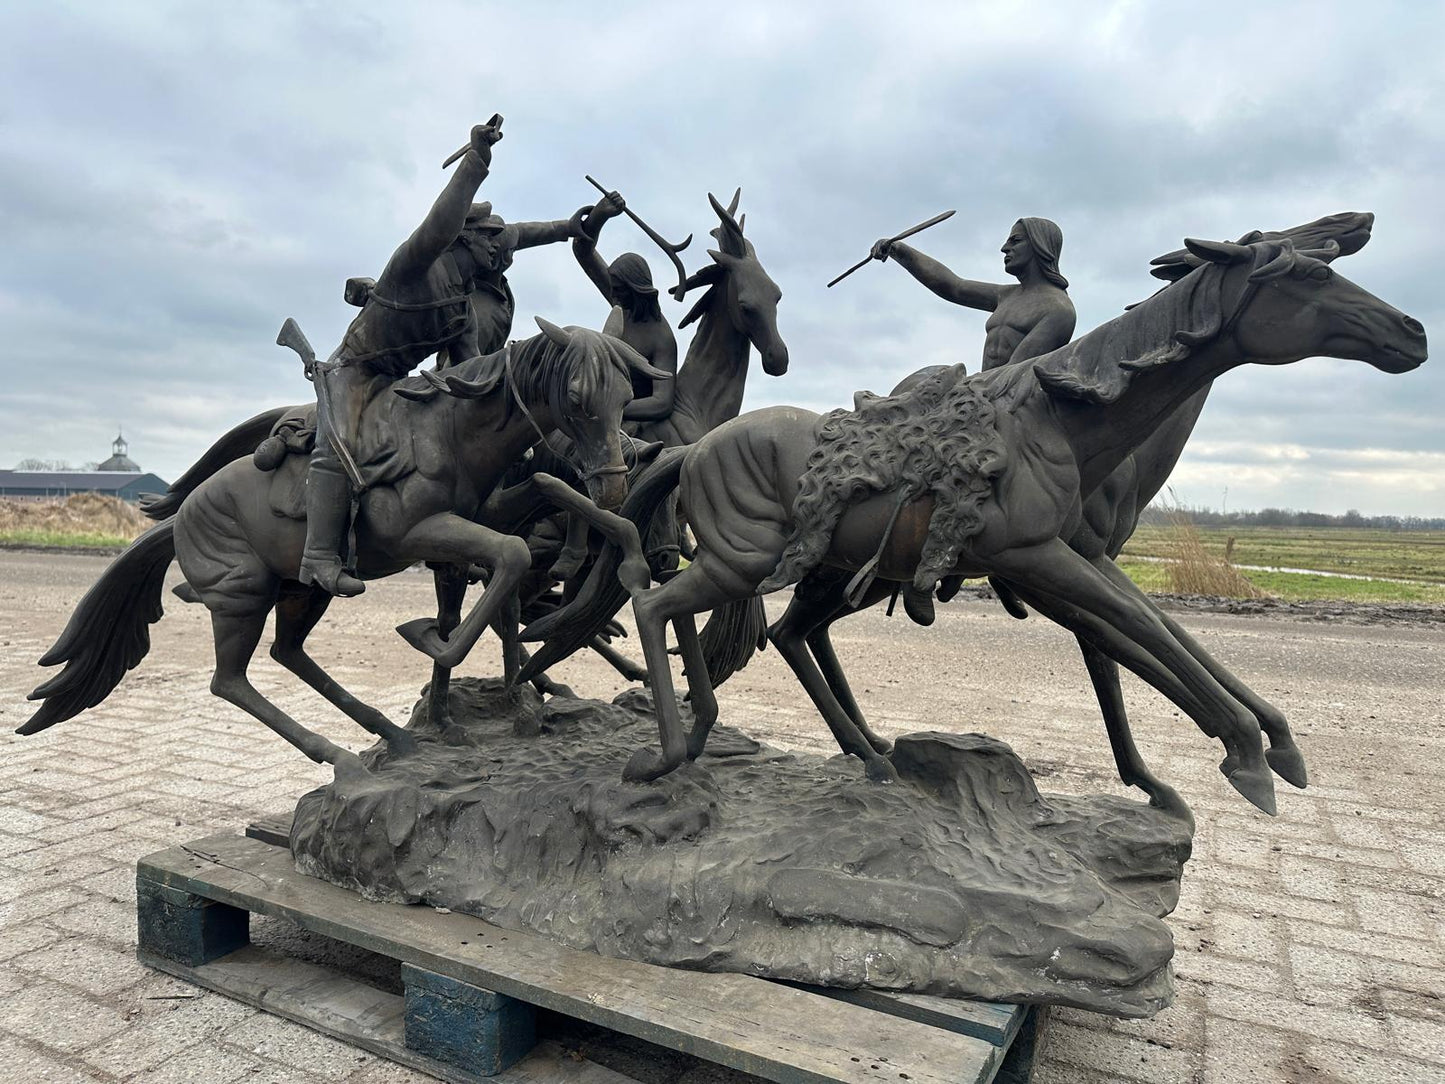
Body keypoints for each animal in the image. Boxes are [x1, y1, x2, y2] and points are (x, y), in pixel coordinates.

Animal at [21, 322, 656, 780]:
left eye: (627, 395)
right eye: (575, 398)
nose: (616, 480)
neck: (449, 430)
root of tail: (180, 516)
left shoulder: (484, 513)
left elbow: (542, 499)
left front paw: (618, 552)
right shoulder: (420, 533)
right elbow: (512, 557)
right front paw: (431, 638)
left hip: (302, 589)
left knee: (287, 653)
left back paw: (390, 736)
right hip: (242, 596)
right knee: (230, 681)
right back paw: (342, 753)